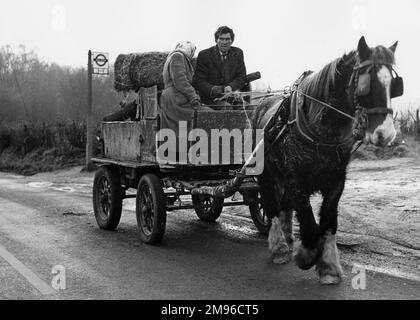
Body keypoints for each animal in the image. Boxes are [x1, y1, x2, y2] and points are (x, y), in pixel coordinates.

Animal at [253, 37, 404, 284]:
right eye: (367, 83)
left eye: (394, 85)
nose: (387, 134)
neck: (320, 131)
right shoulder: (295, 181)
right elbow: (309, 221)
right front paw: (307, 255)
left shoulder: (336, 182)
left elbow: (329, 221)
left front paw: (329, 266)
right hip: (265, 174)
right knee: (270, 204)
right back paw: (279, 247)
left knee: (283, 205)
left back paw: (288, 237)